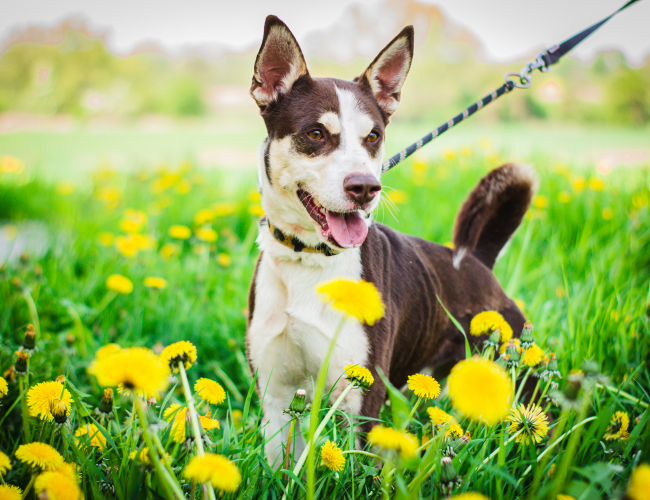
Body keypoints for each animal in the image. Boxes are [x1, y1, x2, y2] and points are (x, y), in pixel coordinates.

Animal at [246, 16, 536, 468]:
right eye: (316, 133)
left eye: (373, 137)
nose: (366, 187)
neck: (310, 261)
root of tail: (477, 263)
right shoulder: (276, 395)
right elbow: (278, 468)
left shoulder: (360, 397)